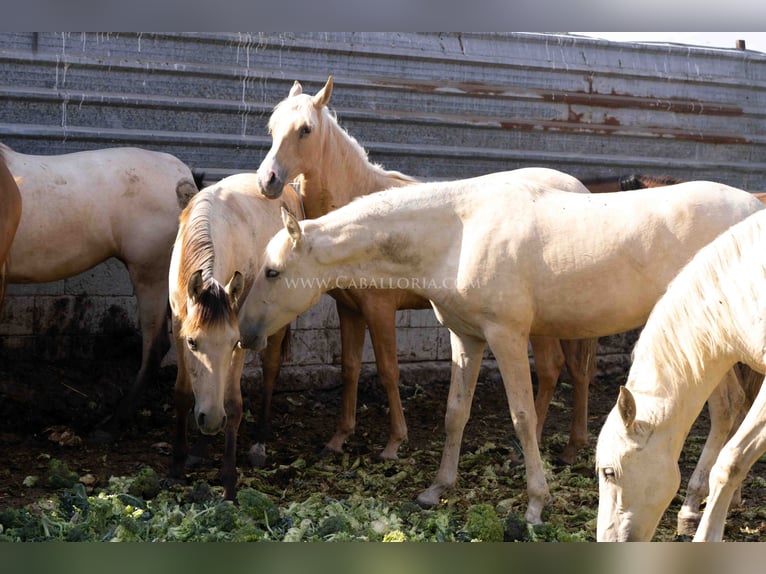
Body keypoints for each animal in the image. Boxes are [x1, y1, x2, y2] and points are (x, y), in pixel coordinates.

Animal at [260, 74, 608, 468]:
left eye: (305, 129)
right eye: (272, 127)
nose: (267, 180)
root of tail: (578, 189)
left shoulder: (379, 310)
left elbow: (387, 369)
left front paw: (394, 442)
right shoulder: (349, 310)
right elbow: (349, 368)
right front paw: (338, 438)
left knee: (551, 369)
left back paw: (526, 447)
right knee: (578, 371)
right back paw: (572, 446)